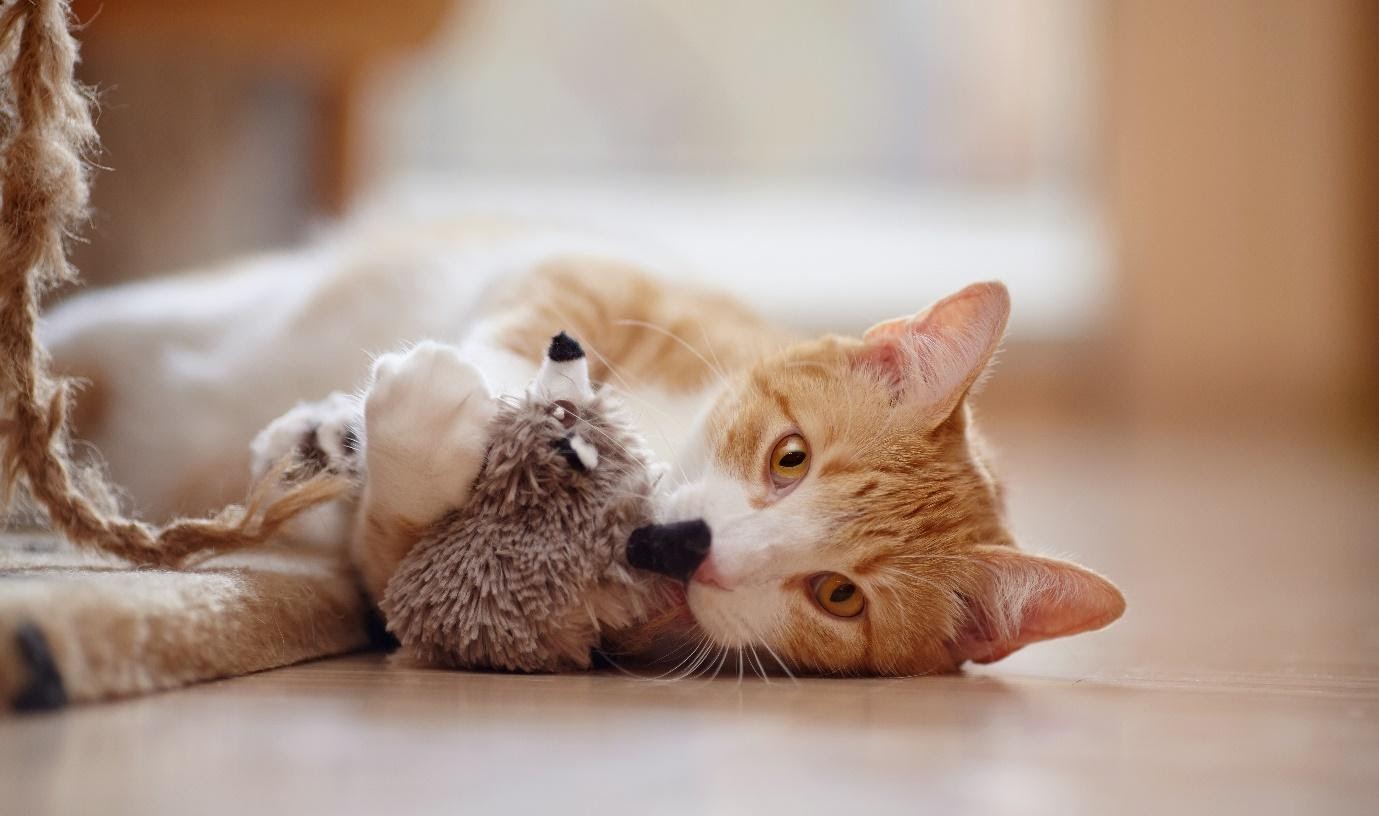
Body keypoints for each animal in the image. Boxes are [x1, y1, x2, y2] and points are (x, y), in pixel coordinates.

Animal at [45, 216, 1119, 675]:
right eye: (790, 458)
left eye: (839, 597)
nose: (687, 549)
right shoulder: (601, 270)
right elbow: (532, 324)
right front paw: (350, 423)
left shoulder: (391, 581)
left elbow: (400, 548)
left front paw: (409, 434)